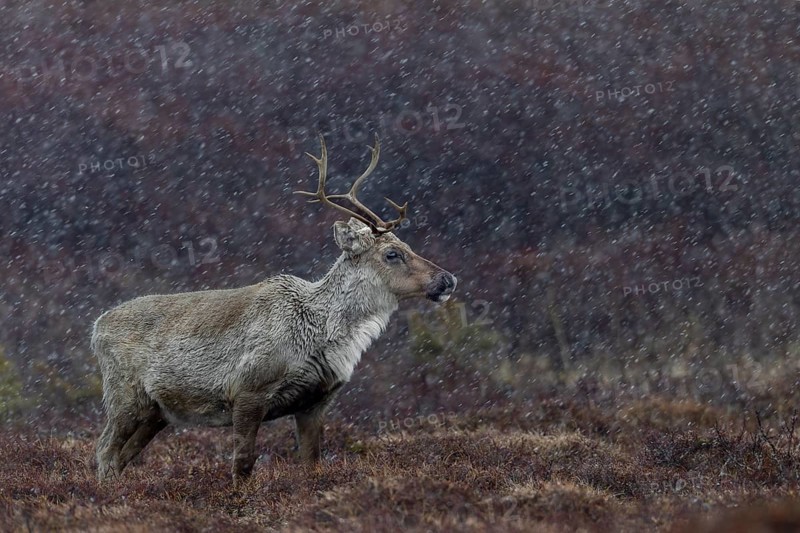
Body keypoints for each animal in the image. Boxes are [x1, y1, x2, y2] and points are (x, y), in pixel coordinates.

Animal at [91, 134, 457, 486]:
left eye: (408, 245)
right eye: (392, 254)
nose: (447, 279)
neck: (320, 334)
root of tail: (96, 327)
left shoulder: (315, 403)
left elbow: (312, 465)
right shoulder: (247, 392)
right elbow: (243, 465)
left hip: (157, 413)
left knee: (121, 457)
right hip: (124, 396)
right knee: (104, 449)